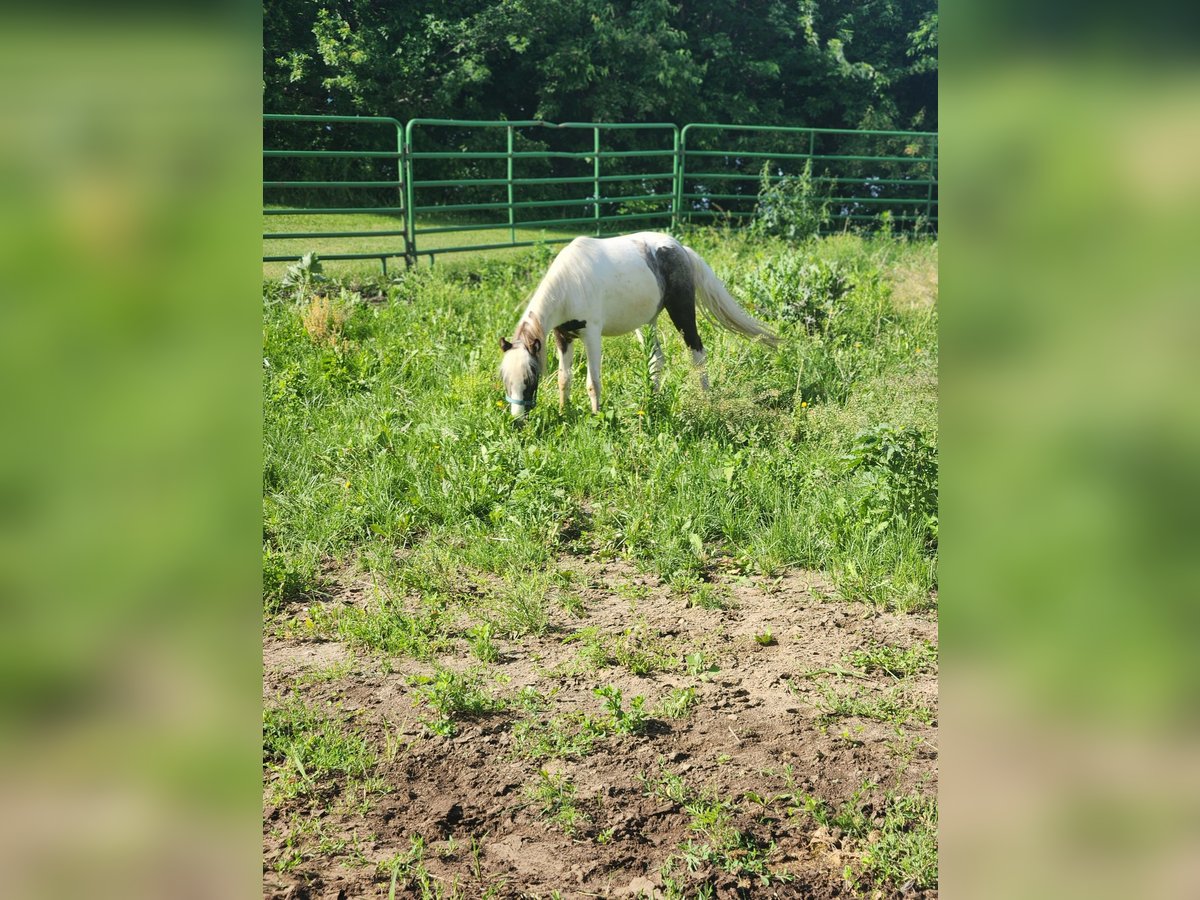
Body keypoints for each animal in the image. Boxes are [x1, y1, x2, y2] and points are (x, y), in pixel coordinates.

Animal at [496, 230, 777, 417]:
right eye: (505, 378)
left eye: (530, 378)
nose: (518, 421)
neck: (569, 285)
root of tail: (680, 248)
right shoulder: (562, 336)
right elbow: (564, 379)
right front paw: (564, 411)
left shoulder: (591, 335)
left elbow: (593, 382)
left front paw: (597, 417)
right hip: (647, 321)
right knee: (656, 358)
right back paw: (652, 398)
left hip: (682, 312)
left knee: (697, 351)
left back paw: (705, 397)